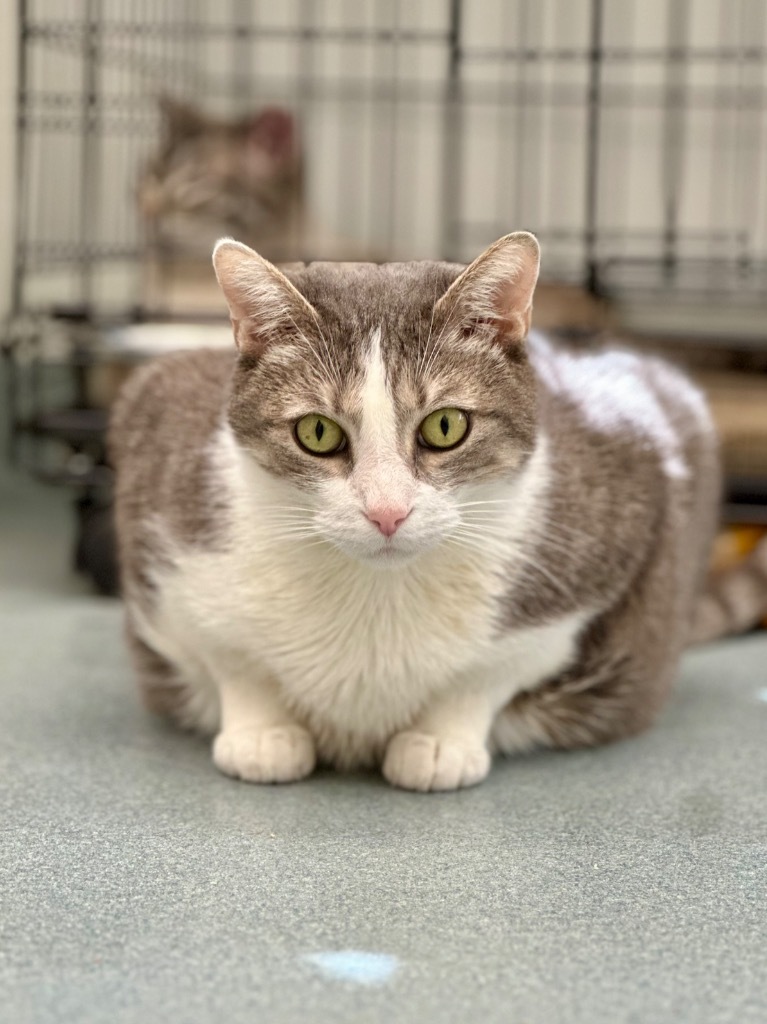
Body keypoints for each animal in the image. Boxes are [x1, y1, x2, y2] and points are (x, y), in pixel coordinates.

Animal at [110, 234, 761, 790]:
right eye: (318, 432)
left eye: (445, 426)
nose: (387, 511)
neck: (375, 596)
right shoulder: (161, 471)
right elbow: (232, 657)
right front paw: (262, 731)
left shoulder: (615, 521)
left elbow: (492, 672)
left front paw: (442, 740)